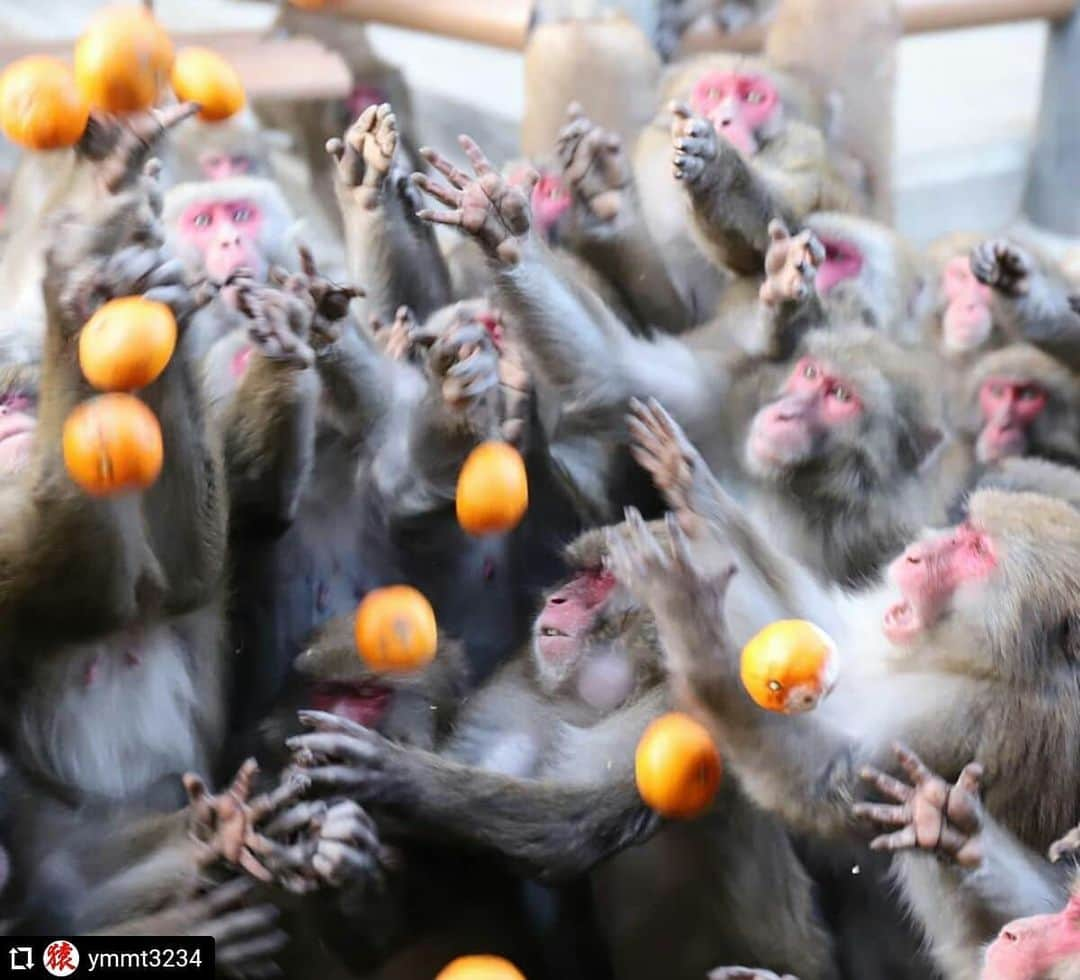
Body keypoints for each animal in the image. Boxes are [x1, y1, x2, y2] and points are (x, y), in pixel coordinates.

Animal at [604, 397, 1080, 980]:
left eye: (975, 551)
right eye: (965, 530)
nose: (917, 551)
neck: (987, 661)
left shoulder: (967, 719)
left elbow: (829, 781)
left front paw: (690, 622)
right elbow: (832, 634)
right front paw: (690, 480)